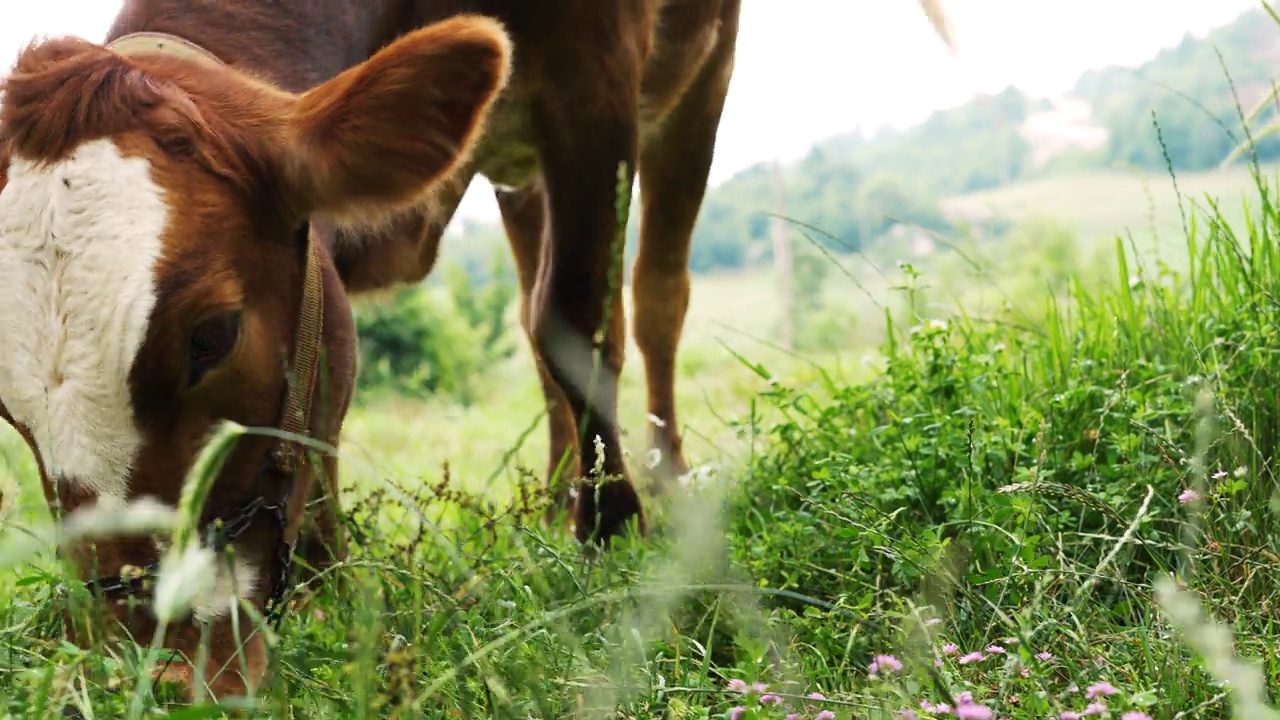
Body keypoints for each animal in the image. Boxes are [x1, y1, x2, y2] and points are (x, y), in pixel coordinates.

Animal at [0, 0, 747, 696]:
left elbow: (579, 310)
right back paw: (555, 498)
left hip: (705, 77)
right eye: (8, 408)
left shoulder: (596, 74)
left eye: (212, 335)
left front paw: (614, 530)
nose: (148, 669)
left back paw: (664, 476)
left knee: (653, 297)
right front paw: (324, 592)